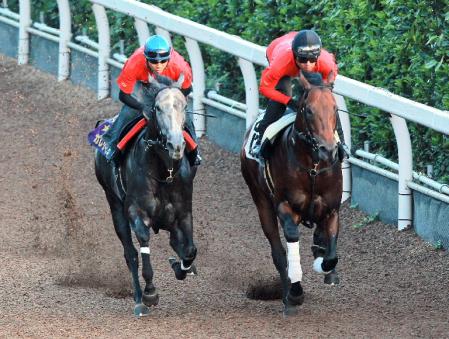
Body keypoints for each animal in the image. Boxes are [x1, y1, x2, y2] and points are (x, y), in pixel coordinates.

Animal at [95, 75, 197, 318]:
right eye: (158, 108)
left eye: (184, 106)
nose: (176, 145)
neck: (164, 172)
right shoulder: (136, 212)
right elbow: (142, 246)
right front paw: (150, 293)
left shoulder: (183, 213)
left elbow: (189, 250)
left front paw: (180, 266)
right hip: (114, 205)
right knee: (130, 253)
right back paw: (140, 299)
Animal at [242, 71, 340, 316]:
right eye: (309, 110)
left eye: (335, 108)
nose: (328, 150)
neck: (313, 167)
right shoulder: (285, 206)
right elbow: (291, 239)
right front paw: (295, 293)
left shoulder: (332, 209)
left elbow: (331, 256)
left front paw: (324, 263)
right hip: (261, 202)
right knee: (278, 253)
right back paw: (288, 296)